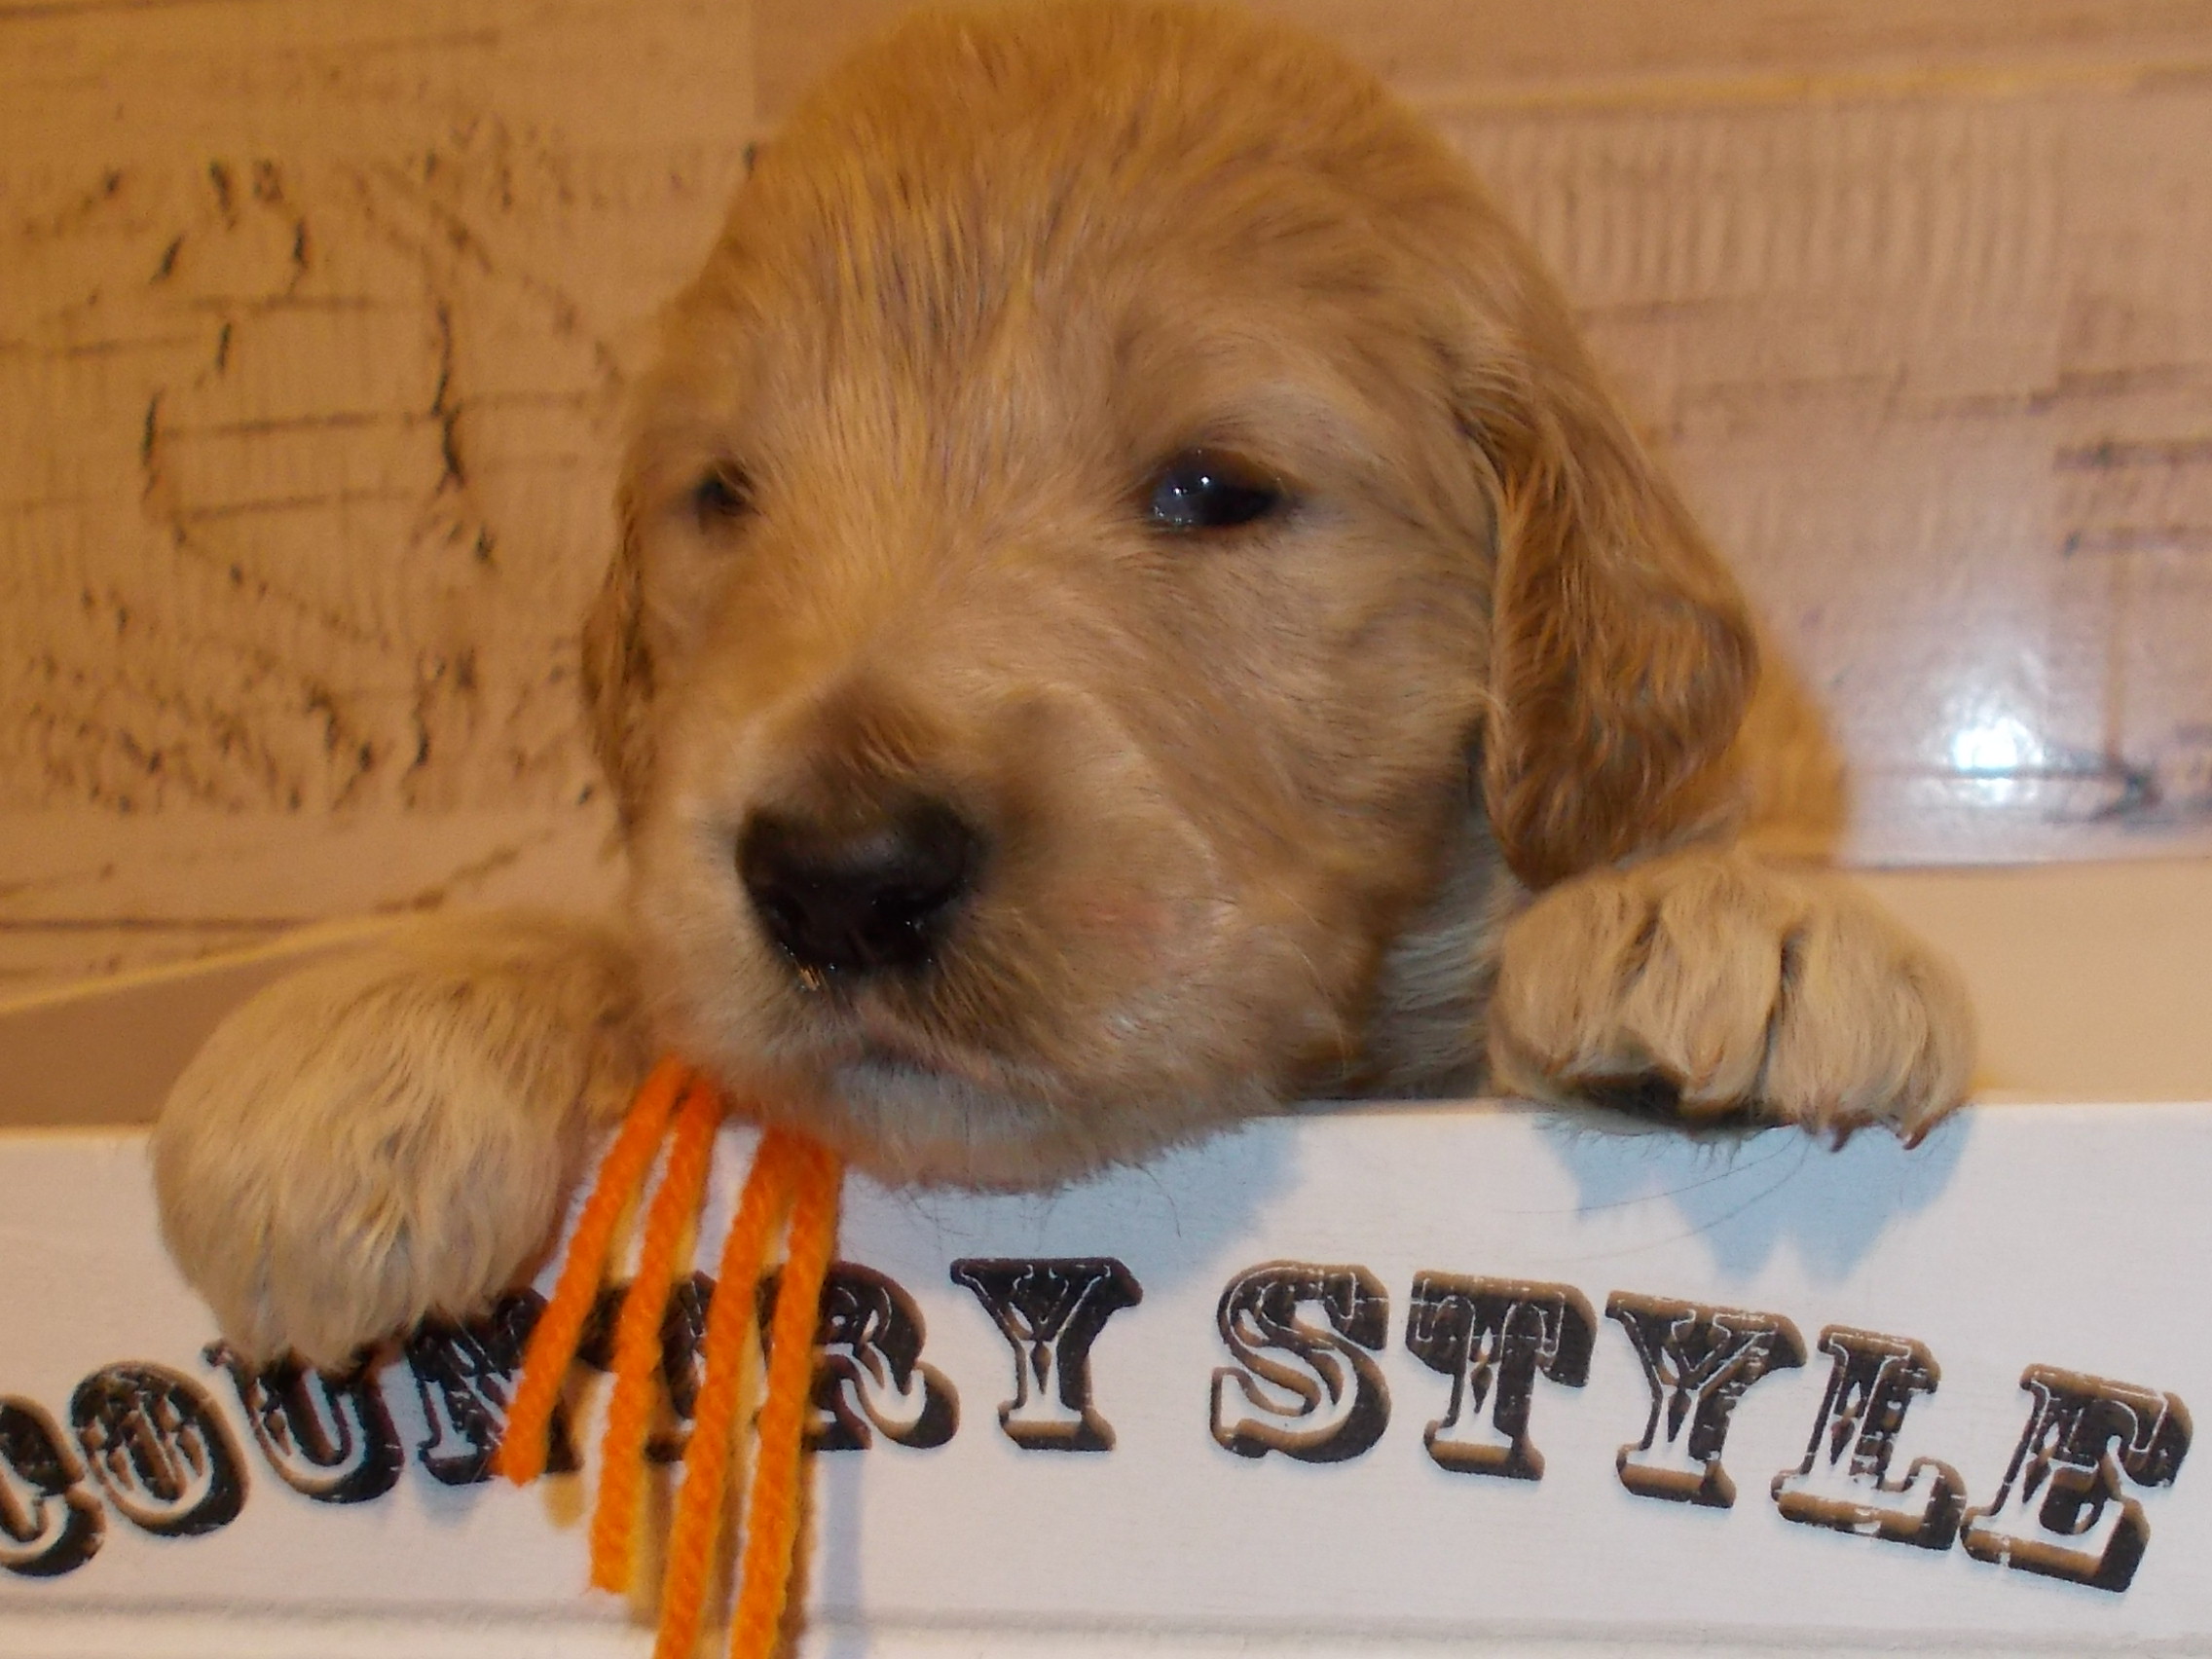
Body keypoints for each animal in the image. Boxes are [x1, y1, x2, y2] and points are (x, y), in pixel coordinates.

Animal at [153, 0, 1975, 1371]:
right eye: (724, 495)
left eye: (1214, 490)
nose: (840, 876)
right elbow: (626, 955)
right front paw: (362, 1061)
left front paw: (1729, 918)